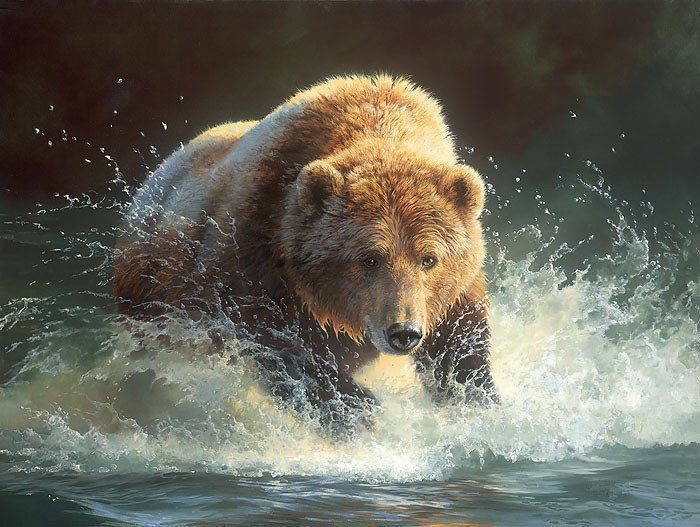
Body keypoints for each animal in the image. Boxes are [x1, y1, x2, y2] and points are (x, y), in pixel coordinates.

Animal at [114, 74, 497, 437]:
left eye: (429, 259)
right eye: (369, 258)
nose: (404, 332)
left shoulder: (453, 290)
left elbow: (459, 345)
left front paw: (475, 400)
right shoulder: (255, 250)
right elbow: (271, 339)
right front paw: (355, 408)